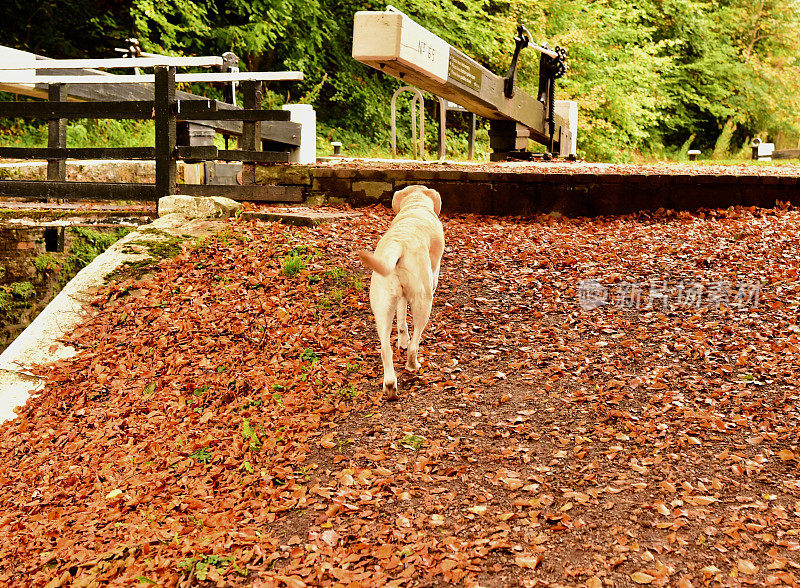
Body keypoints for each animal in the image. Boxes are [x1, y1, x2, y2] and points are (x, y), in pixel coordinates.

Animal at [360, 186, 446, 400]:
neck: (416, 205)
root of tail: (398, 244)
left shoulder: (399, 297)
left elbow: (401, 320)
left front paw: (402, 339)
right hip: (424, 301)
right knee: (415, 346)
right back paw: (413, 365)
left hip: (382, 307)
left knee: (385, 349)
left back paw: (390, 385)